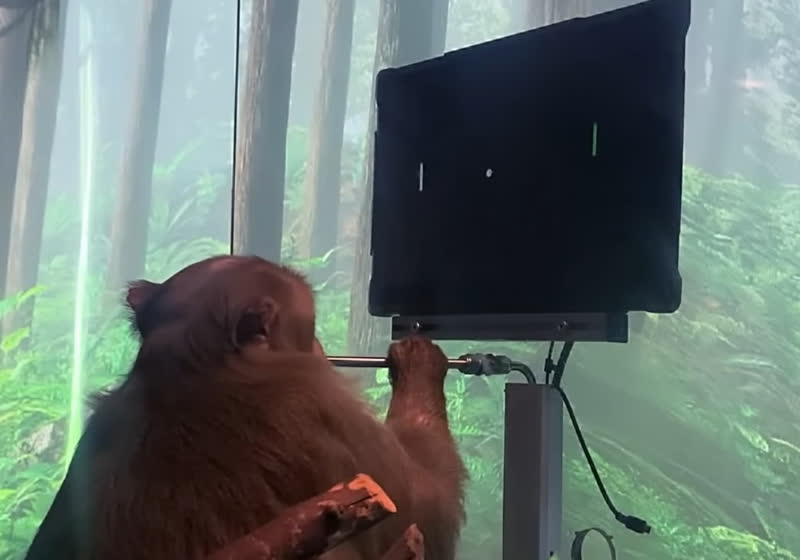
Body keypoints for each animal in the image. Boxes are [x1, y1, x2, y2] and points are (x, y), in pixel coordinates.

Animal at [24, 255, 466, 560]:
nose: (321, 350)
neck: (191, 363)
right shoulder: (326, 410)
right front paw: (419, 364)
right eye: (310, 330)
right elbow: (427, 508)